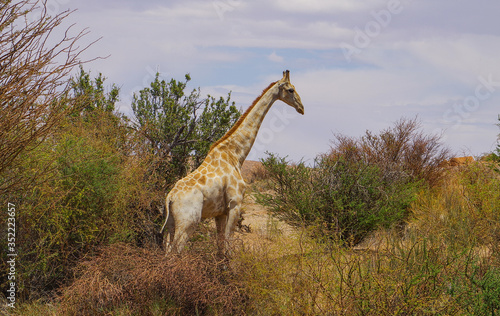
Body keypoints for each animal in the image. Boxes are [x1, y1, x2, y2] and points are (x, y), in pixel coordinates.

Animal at [160, 70, 304, 253]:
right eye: (291, 90)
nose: (302, 108)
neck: (236, 155)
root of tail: (170, 198)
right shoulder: (235, 204)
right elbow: (228, 248)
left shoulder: (220, 213)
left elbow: (221, 249)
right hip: (188, 222)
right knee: (175, 252)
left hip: (170, 225)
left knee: (167, 251)